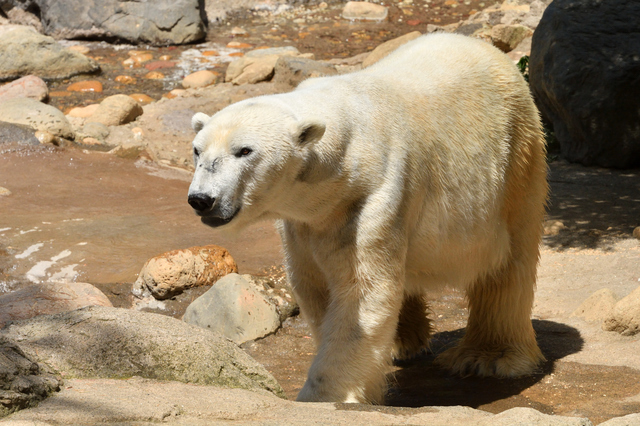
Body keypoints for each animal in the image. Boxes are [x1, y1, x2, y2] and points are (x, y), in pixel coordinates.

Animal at [188, 32, 548, 402]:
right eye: (197, 150)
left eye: (244, 151)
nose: (202, 200)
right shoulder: (303, 223)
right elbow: (316, 286)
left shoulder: (372, 198)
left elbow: (360, 294)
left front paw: (324, 395)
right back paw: (402, 343)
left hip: (514, 163)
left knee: (508, 262)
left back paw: (488, 356)